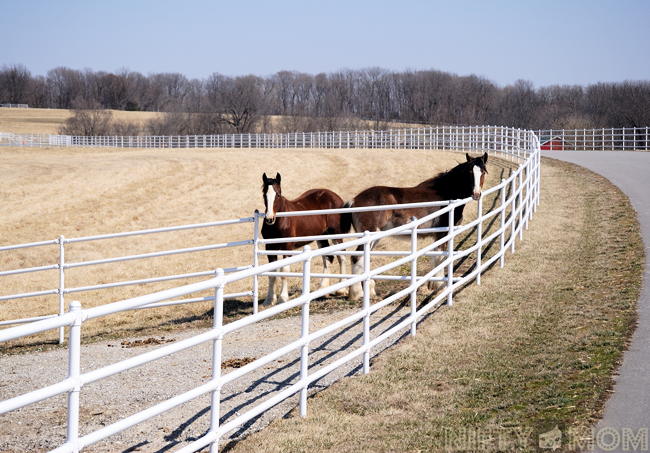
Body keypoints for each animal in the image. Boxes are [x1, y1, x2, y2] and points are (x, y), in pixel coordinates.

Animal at [260, 171, 346, 306]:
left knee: (341, 257)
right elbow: (272, 273)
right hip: (322, 236)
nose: (269, 219)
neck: (281, 220)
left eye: (278, 194)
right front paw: (269, 300)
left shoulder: (287, 247)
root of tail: (335, 197)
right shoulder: (270, 247)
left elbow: (284, 271)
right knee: (327, 258)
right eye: (264, 194)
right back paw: (322, 290)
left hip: (336, 234)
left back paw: (342, 290)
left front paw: (282, 299)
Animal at [340, 153, 486, 300]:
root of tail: (354, 200)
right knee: (357, 258)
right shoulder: (442, 234)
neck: (446, 193)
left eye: (483, 172)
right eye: (470, 172)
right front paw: (439, 286)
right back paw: (356, 293)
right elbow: (440, 257)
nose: (476, 194)